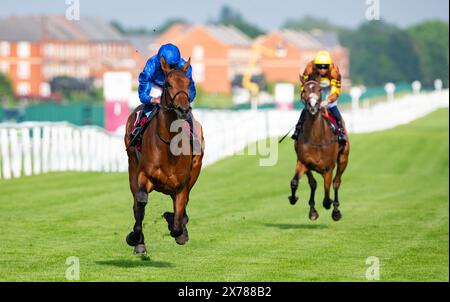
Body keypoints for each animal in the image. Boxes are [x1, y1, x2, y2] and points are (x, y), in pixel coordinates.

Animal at [125, 56, 206, 255]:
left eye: (188, 83)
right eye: (168, 84)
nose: (183, 109)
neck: (169, 145)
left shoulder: (182, 185)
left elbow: (177, 221)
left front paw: (176, 225)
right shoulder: (144, 175)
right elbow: (140, 201)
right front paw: (134, 238)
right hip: (132, 166)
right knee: (136, 202)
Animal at [290, 79, 350, 222]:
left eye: (319, 90)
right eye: (304, 90)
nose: (313, 106)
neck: (316, 137)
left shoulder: (328, 168)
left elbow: (327, 195)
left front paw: (331, 206)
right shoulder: (303, 162)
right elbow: (295, 182)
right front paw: (293, 198)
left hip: (343, 158)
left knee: (336, 182)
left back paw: (335, 211)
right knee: (313, 183)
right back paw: (312, 211)